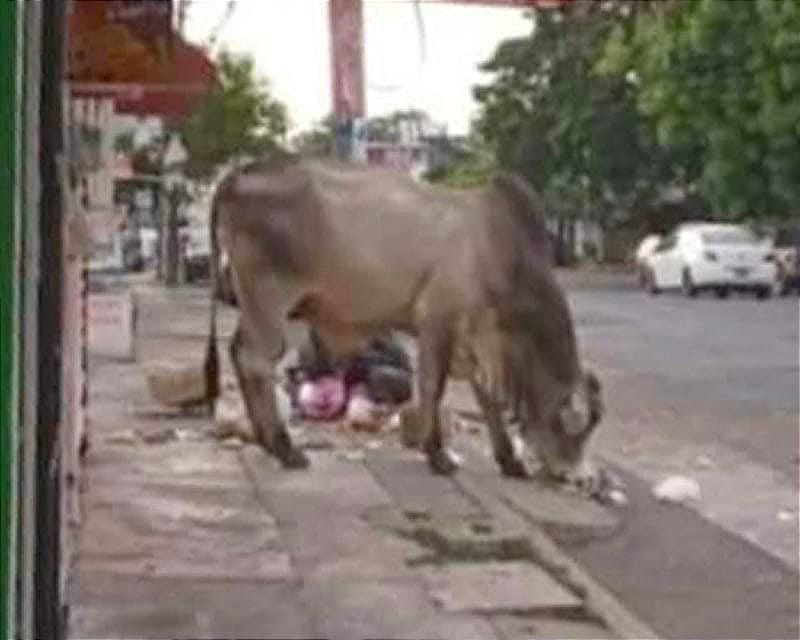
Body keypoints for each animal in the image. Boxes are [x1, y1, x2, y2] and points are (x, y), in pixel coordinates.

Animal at [203, 152, 604, 492]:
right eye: (573, 427)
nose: (582, 478)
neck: (501, 251)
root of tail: (239, 174)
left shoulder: (475, 340)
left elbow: (487, 399)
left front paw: (510, 461)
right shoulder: (438, 322)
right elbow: (432, 388)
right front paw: (439, 456)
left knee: (240, 354)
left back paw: (268, 442)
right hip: (269, 299)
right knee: (255, 359)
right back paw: (284, 448)